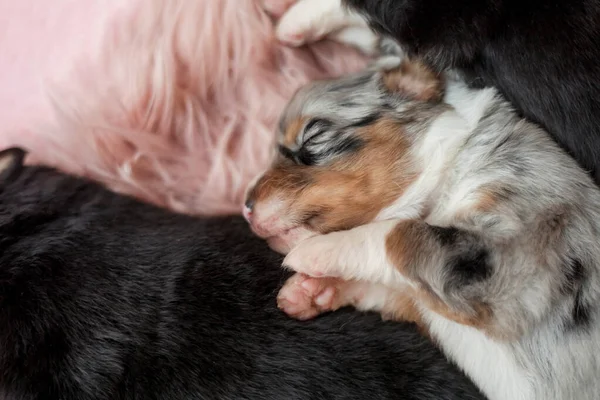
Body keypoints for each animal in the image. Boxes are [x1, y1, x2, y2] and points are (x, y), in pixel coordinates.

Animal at [243, 54, 600, 398]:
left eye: (312, 137)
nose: (245, 206)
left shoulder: (515, 252)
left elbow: (398, 232)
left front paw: (317, 252)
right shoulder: (430, 301)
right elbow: (392, 289)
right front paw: (315, 290)